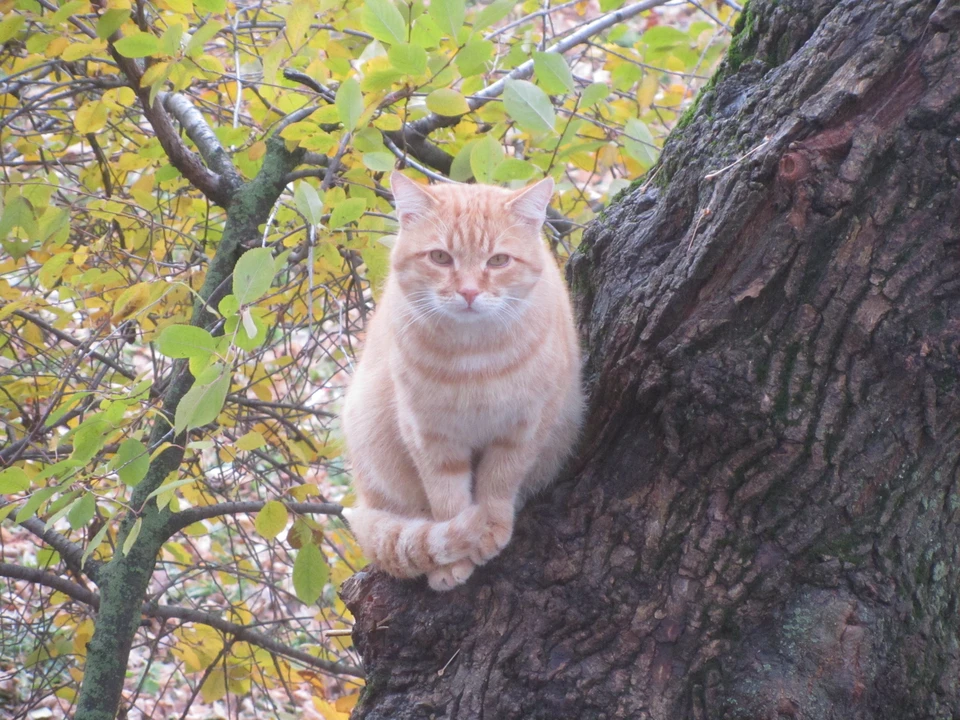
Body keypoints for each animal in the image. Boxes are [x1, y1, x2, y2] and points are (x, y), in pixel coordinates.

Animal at [344, 173, 584, 592]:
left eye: (499, 260)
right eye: (440, 258)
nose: (469, 291)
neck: (473, 361)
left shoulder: (525, 426)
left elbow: (499, 479)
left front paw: (490, 524)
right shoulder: (429, 436)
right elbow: (447, 498)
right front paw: (456, 553)